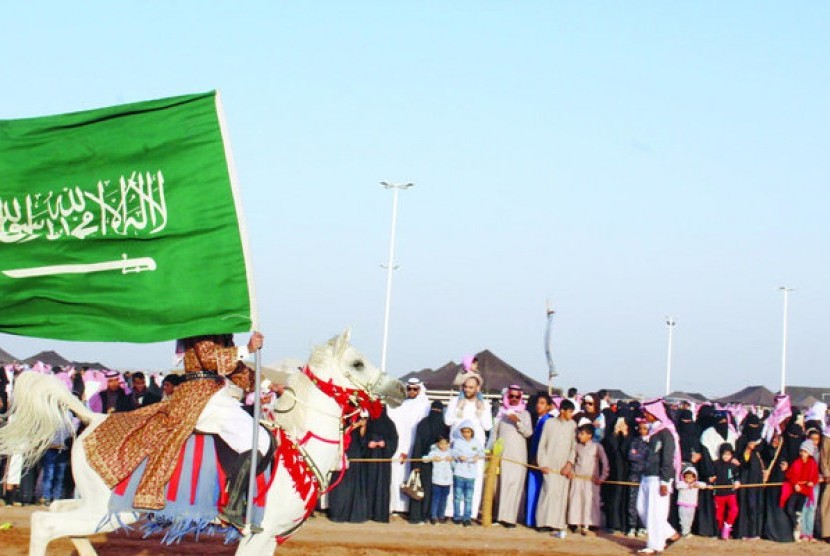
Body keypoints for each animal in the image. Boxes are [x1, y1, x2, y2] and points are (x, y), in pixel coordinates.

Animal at [0, 330, 406, 556]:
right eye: (357, 363)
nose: (400, 389)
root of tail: (93, 418)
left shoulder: (271, 539)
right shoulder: (258, 536)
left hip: (96, 506)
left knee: (59, 514)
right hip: (112, 508)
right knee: (43, 523)